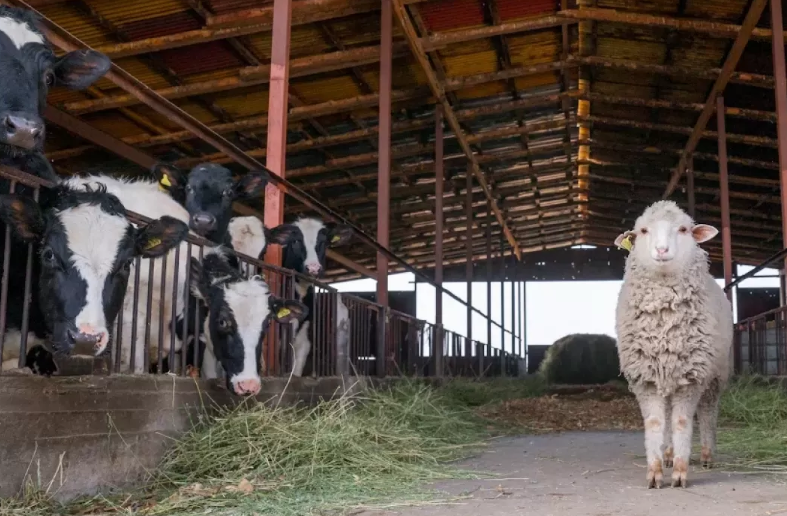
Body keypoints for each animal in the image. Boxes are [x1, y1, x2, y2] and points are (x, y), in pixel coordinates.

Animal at [616, 200, 732, 490]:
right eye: (643, 230)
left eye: (683, 229)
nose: (661, 250)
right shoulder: (645, 378)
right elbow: (657, 422)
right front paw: (655, 471)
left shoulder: (691, 377)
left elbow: (681, 421)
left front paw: (680, 473)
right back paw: (668, 454)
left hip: (715, 373)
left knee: (707, 412)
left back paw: (706, 455)